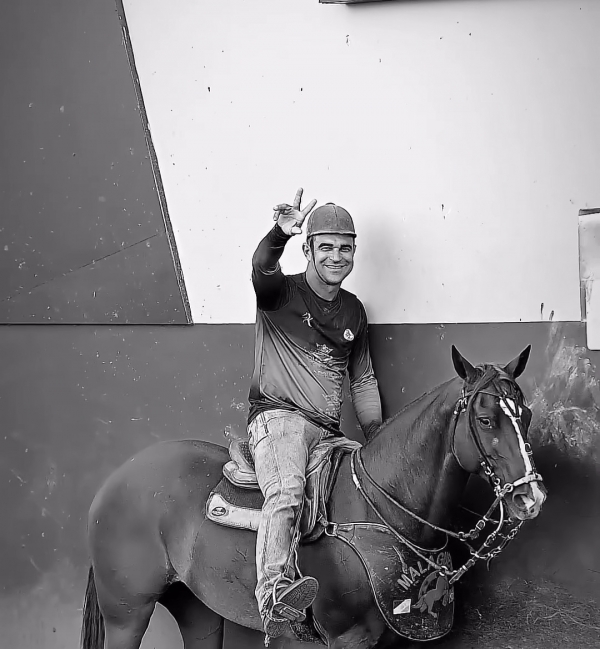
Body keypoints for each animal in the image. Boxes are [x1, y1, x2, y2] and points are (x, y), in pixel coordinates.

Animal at [80, 345, 546, 649]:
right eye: (485, 420)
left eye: (524, 414)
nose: (532, 497)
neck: (377, 513)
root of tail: (112, 482)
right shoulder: (349, 640)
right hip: (126, 614)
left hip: (196, 608)